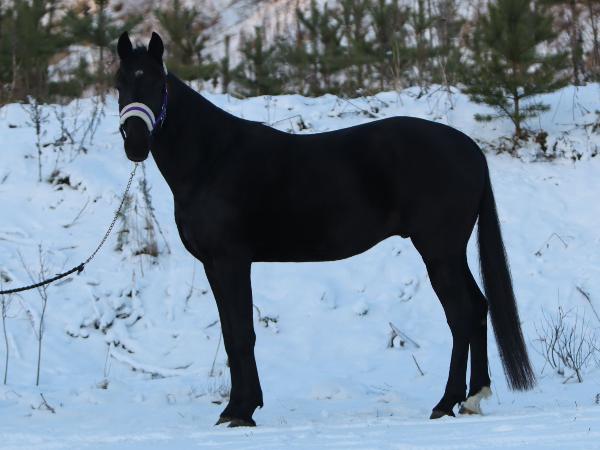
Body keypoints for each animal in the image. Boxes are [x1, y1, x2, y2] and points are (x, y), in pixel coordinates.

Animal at [115, 32, 535, 427]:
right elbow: (232, 334)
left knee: (461, 314)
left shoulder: (231, 261)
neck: (213, 159)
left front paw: (241, 410)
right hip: (449, 253)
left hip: (439, 251)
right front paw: (237, 407)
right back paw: (473, 397)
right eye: (119, 83)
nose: (135, 144)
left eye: (157, 84)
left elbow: (242, 334)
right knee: (478, 307)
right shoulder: (213, 265)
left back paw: (446, 402)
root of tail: (471, 149)